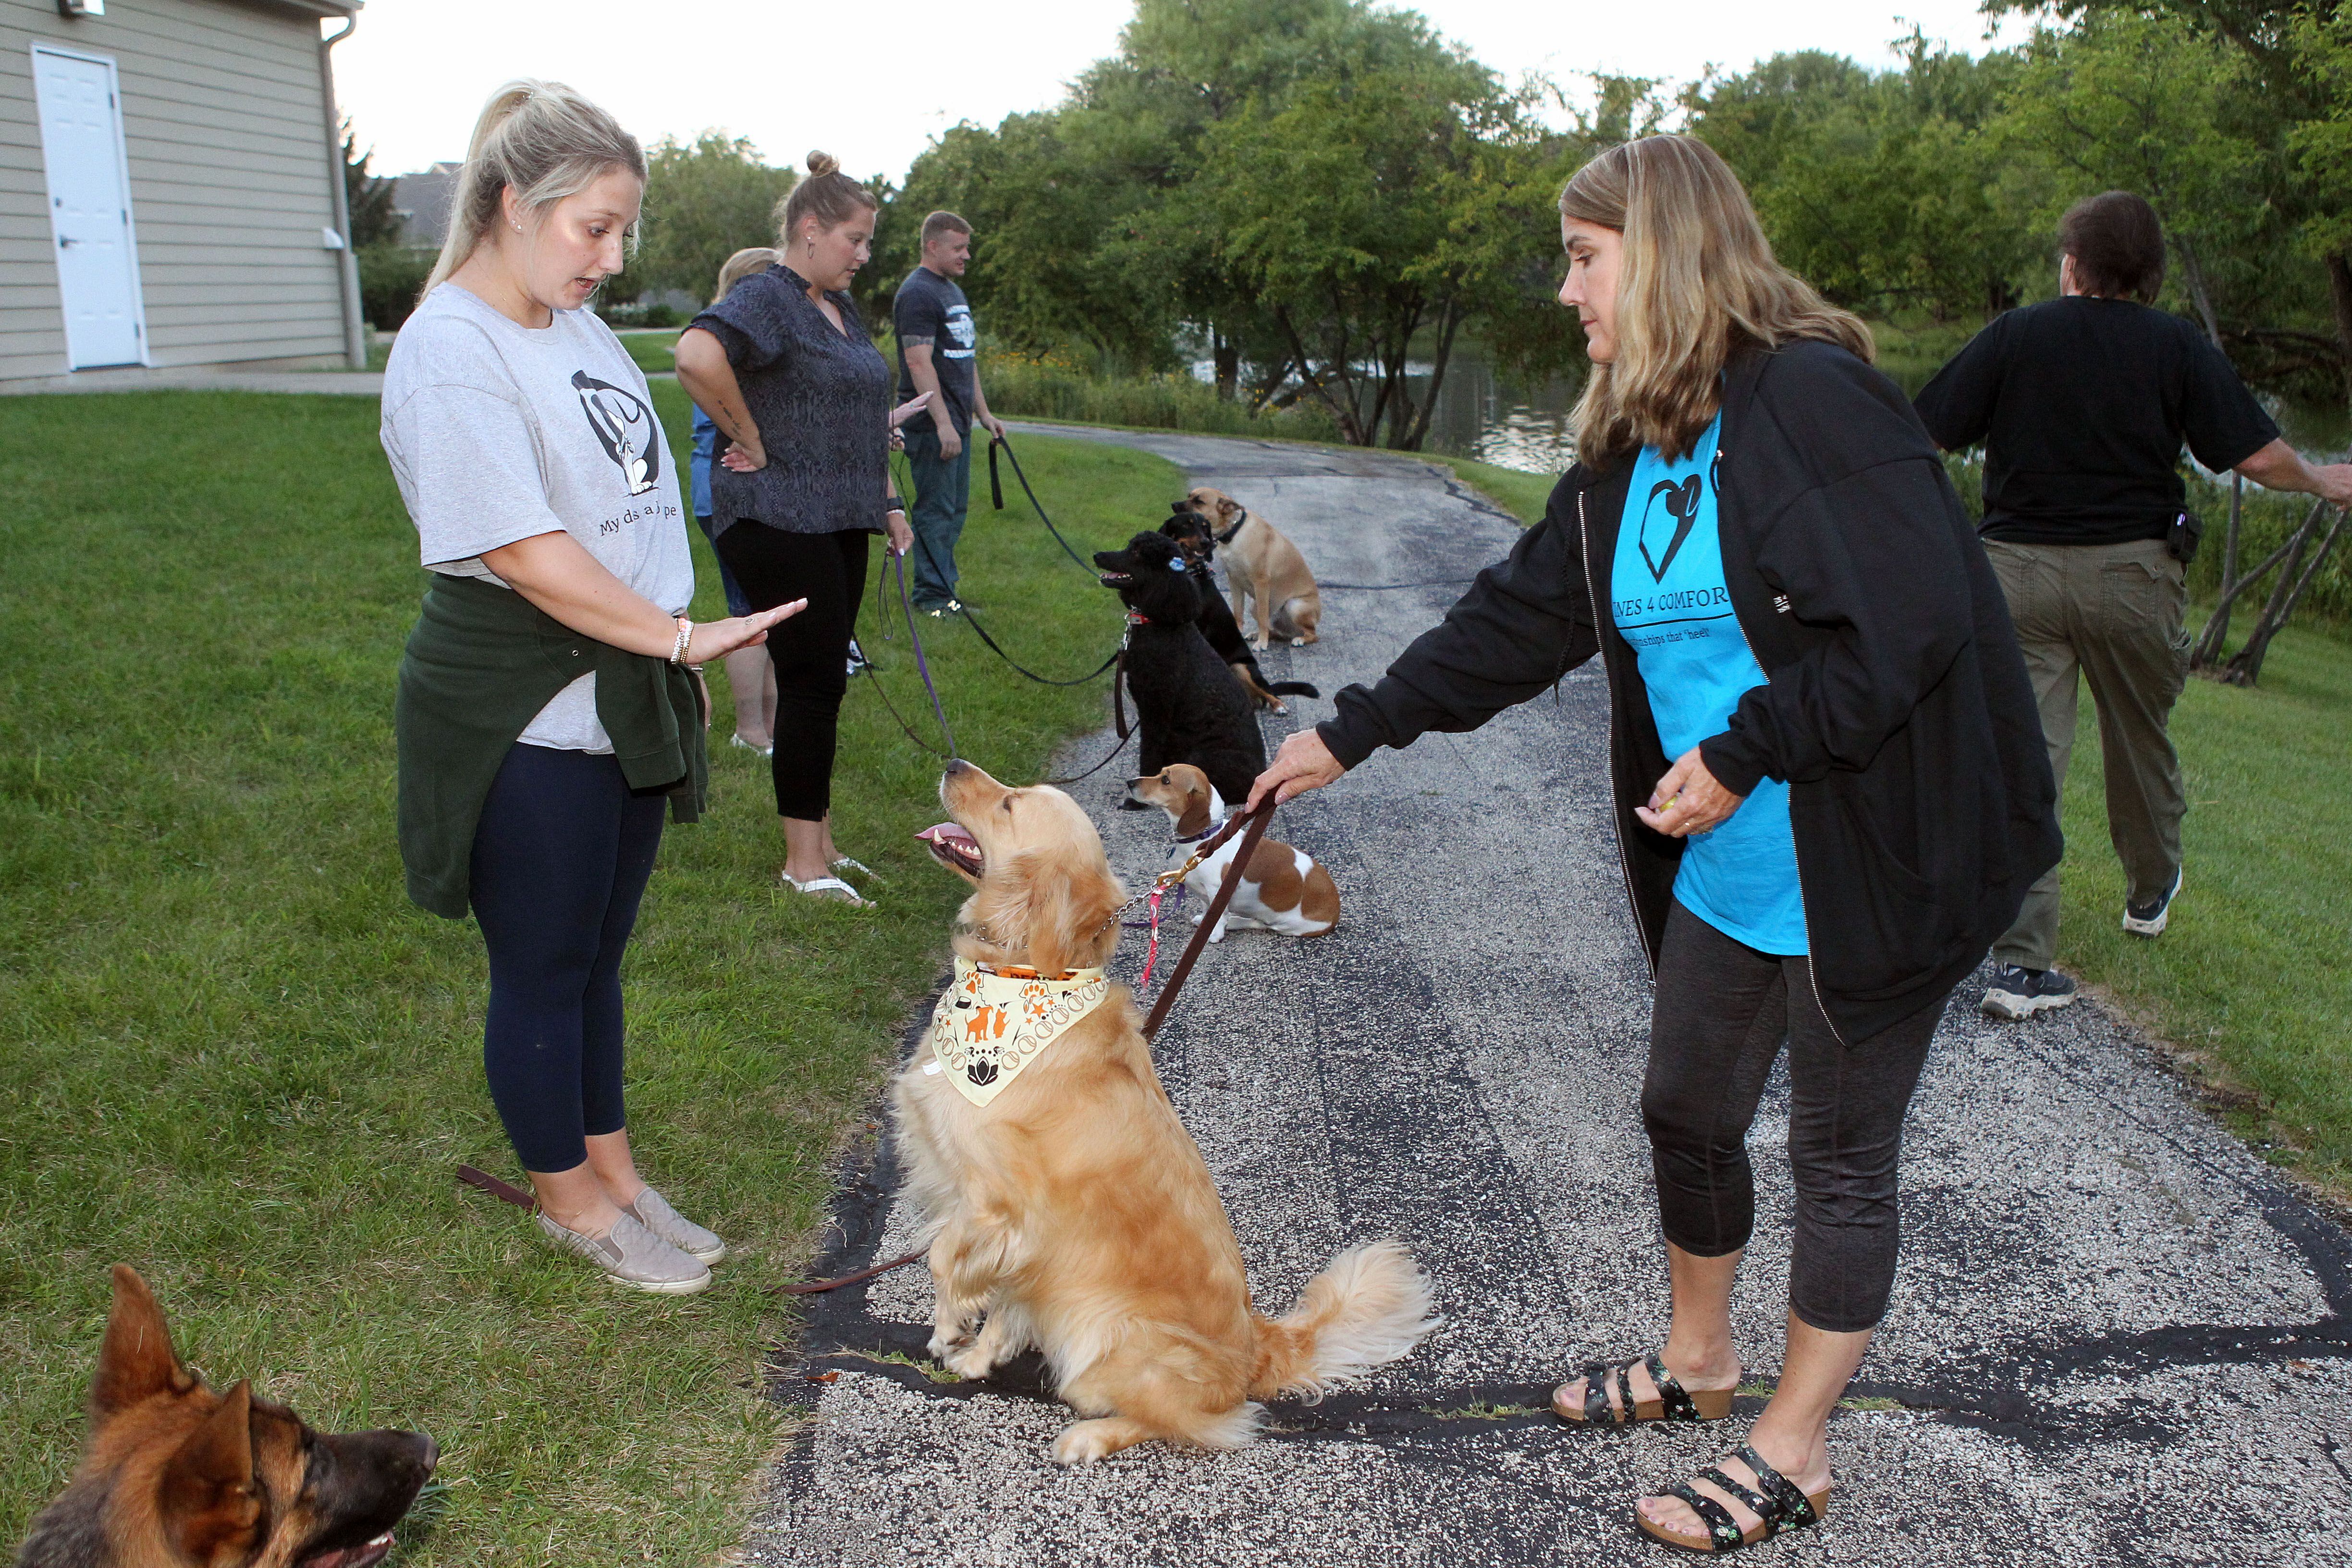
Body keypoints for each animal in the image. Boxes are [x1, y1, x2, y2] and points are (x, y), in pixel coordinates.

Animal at [1096, 531, 1270, 808]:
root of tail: (1258, 779)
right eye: (1130, 546)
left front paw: (1140, 800)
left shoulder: (1157, 711)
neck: (1160, 624)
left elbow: (1150, 754)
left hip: (1201, 755)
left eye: (1137, 552)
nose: (1097, 556)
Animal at [1124, 761, 1345, 940]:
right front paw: (1204, 922)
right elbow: (1206, 910)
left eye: (1166, 780)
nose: (1130, 783)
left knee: (1262, 924)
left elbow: (1218, 916)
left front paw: (1213, 934)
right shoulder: (1203, 894)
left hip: (1287, 925)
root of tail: (1335, 913)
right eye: (1160, 773)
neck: (1206, 839)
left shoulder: (1216, 890)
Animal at [1166, 505, 1317, 714]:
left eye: (1205, 527)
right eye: (1186, 526)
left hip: (1243, 665)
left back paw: (1278, 705)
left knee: (1268, 692)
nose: (1206, 543)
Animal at [1185, 482, 1317, 649]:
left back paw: (1300, 639)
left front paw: (1262, 644)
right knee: (1275, 631)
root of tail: (1293, 632)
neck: (1234, 532)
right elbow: (1238, 611)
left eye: (1199, 502)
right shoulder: (1234, 581)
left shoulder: (1261, 583)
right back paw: (1259, 635)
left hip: (1295, 606)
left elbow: (1262, 619)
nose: (1173, 505)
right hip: (1255, 607)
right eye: (1189, 496)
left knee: (1312, 634)